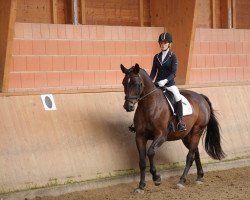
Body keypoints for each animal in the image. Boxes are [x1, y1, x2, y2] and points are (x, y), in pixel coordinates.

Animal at [120, 63, 226, 193]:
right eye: (124, 83)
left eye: (137, 84)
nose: (128, 106)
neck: (149, 106)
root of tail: (201, 97)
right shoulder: (140, 136)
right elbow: (142, 162)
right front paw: (141, 186)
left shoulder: (161, 135)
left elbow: (150, 152)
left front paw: (156, 178)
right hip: (186, 136)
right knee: (195, 152)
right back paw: (200, 177)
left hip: (197, 130)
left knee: (190, 156)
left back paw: (181, 181)